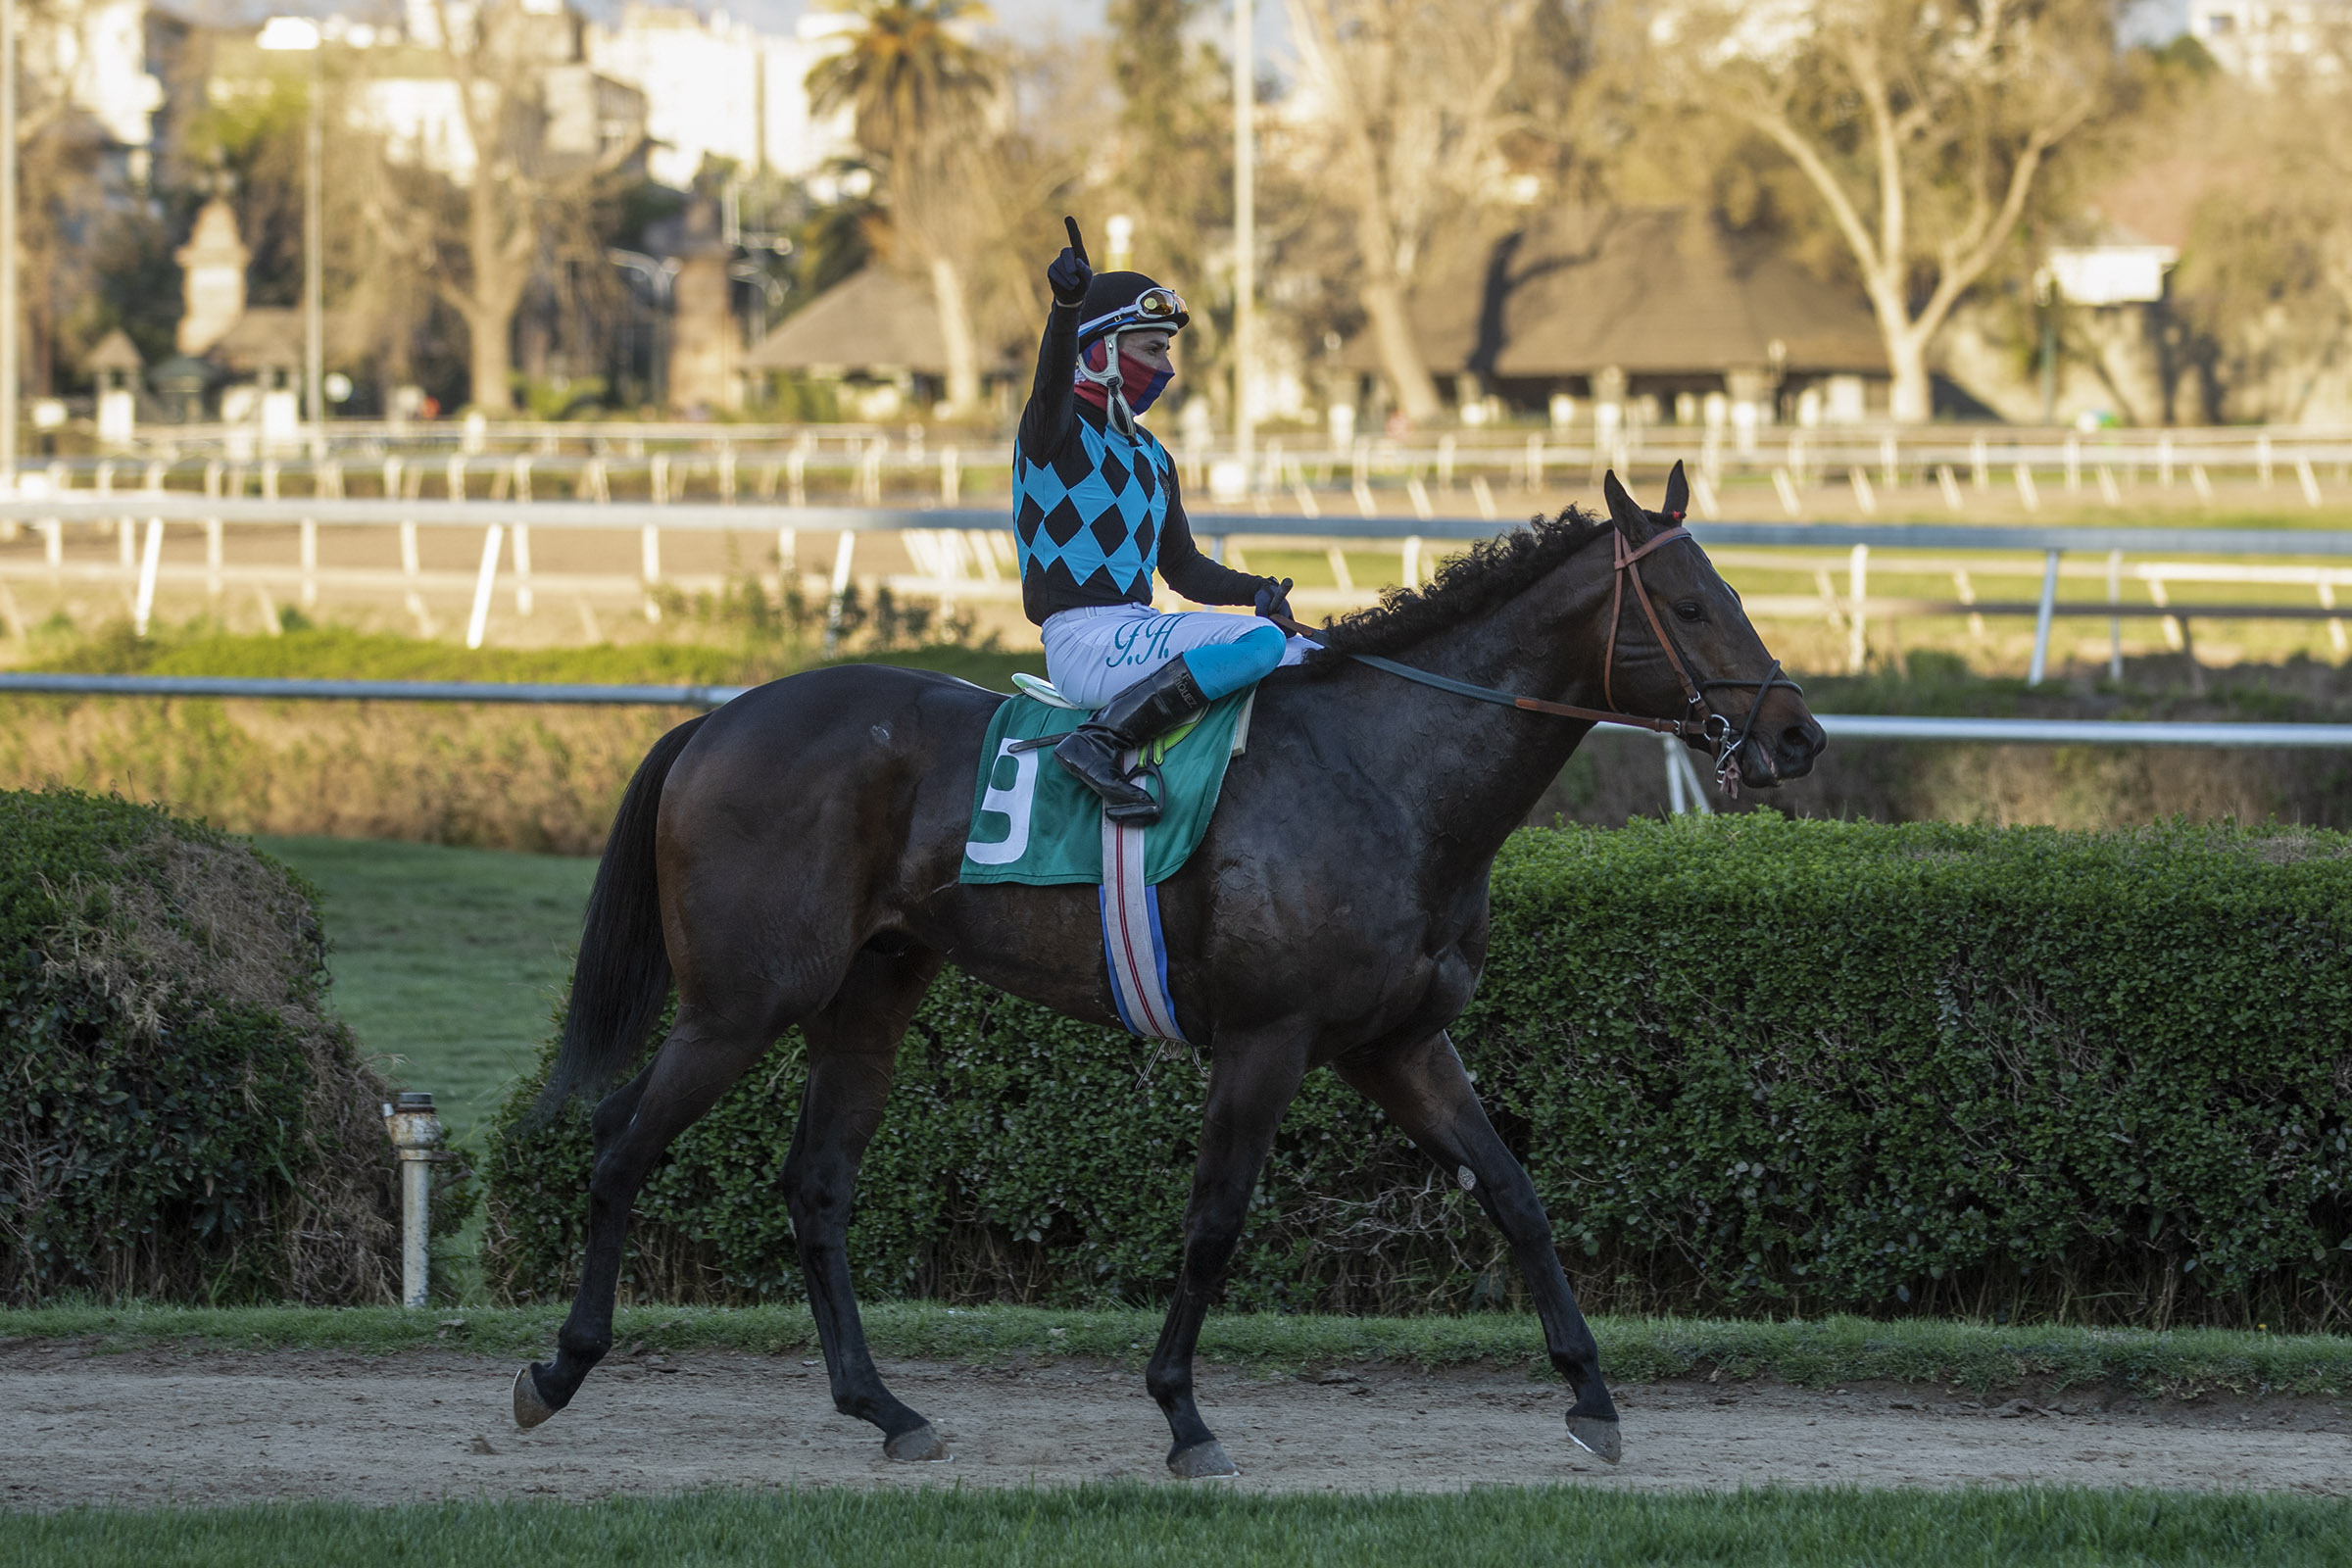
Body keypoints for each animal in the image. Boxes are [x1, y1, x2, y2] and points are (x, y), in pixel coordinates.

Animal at [510, 463, 1824, 1478]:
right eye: (1691, 602)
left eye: (1729, 590)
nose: (1800, 734)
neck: (1386, 772)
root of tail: (717, 721)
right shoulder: (1266, 1039)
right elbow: (1215, 1220)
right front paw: (1185, 1416)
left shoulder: (1398, 1043)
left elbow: (1514, 1193)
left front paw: (1592, 1398)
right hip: (743, 1001)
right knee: (620, 1143)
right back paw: (558, 1369)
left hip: (868, 999)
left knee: (816, 1187)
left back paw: (886, 1409)